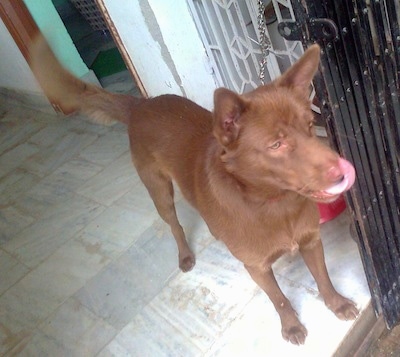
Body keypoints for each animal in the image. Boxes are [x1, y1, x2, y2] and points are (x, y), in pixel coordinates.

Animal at [29, 35, 358, 342]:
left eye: (309, 126)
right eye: (276, 145)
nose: (343, 170)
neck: (273, 203)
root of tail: (140, 105)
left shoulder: (311, 242)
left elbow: (323, 278)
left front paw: (337, 304)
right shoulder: (257, 267)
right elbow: (278, 299)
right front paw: (290, 325)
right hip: (158, 190)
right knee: (174, 223)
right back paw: (185, 253)